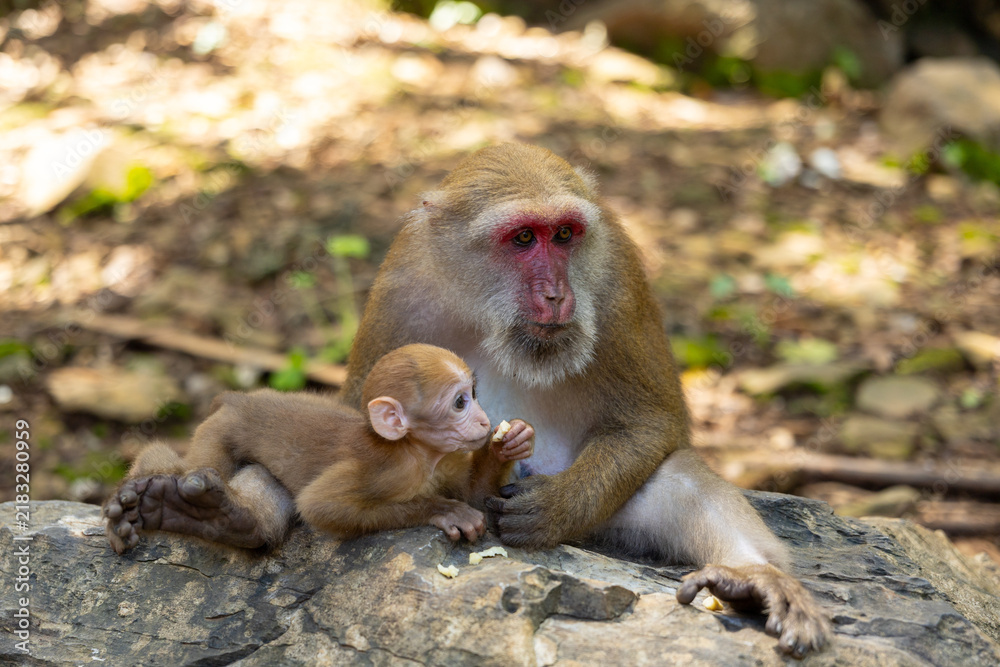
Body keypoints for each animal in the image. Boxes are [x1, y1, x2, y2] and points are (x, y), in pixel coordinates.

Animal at [104, 343, 535, 553]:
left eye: (474, 394)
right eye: (460, 403)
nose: (484, 420)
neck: (416, 451)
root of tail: (237, 398)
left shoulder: (447, 460)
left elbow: (477, 494)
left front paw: (512, 441)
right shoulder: (386, 470)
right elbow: (320, 507)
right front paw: (444, 510)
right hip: (217, 432)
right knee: (187, 470)